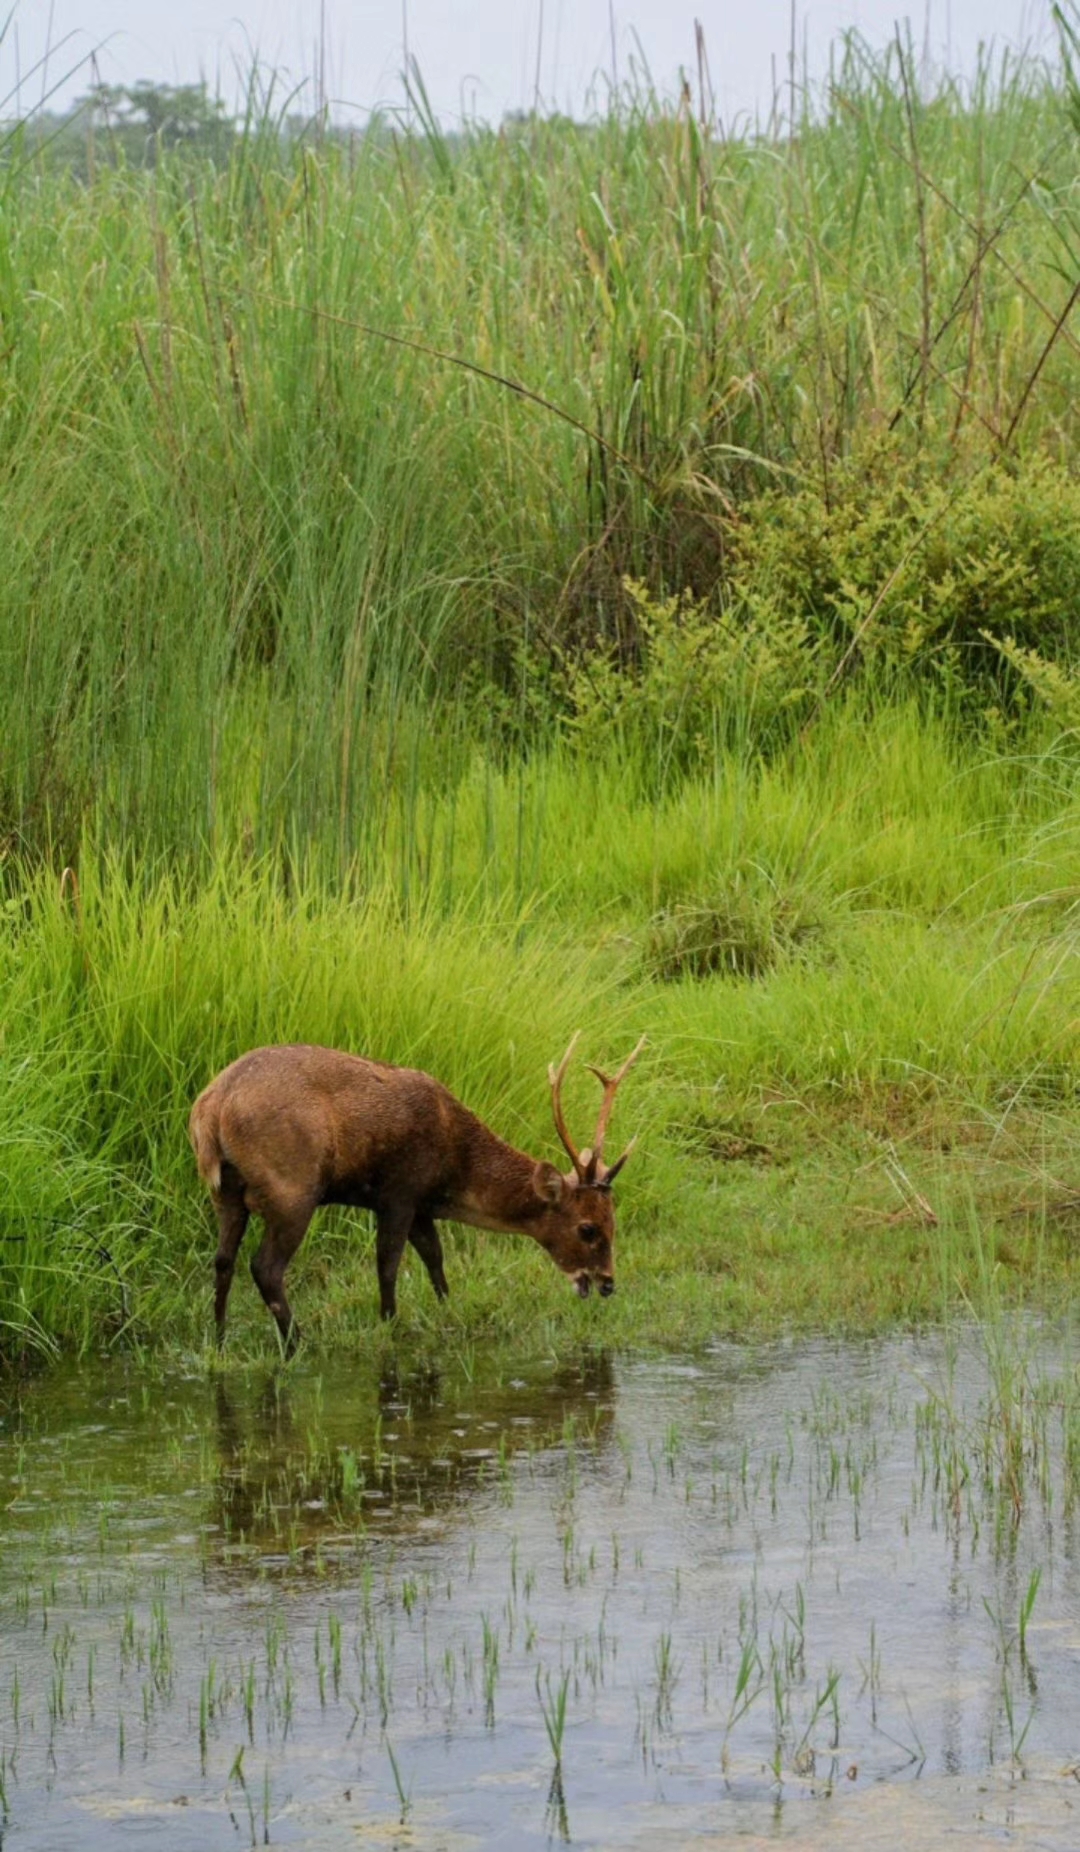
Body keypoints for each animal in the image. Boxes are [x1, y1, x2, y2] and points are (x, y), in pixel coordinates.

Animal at [188, 1037, 640, 1355]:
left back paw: (220, 1338)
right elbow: (388, 1264)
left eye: (614, 1222)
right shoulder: (400, 1192)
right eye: (587, 1228)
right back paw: (296, 1343)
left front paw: (447, 1310)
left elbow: (434, 1258)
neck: (453, 1165)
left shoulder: (421, 1205)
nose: (607, 1282)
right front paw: (391, 1323)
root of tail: (211, 1108)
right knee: (265, 1267)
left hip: (225, 1191)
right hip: (292, 1186)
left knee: (223, 1259)